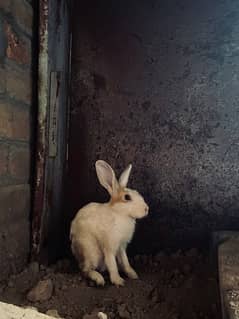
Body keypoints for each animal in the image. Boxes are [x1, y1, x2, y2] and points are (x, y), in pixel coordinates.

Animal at [69, 160, 148, 288]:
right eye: (127, 197)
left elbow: (125, 261)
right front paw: (118, 281)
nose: (146, 209)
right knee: (85, 269)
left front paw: (133, 274)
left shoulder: (121, 246)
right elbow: (112, 263)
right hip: (91, 252)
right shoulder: (109, 246)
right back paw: (99, 279)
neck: (120, 213)